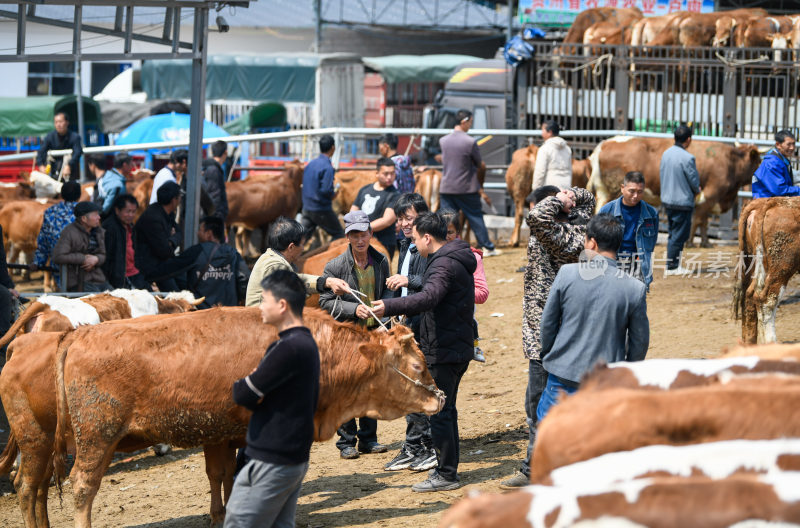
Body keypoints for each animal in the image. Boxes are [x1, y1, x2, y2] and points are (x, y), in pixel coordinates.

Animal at [32, 308, 438, 524]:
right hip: (97, 436)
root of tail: (78, 334)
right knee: (83, 486)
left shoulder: (221, 433)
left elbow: (223, 475)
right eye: (418, 366)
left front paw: (222, 514)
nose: (441, 398)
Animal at [588, 136, 764, 248]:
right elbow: (698, 220)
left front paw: (705, 242)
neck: (730, 162)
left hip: (605, 191)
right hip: (614, 191)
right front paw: (691, 243)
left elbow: (704, 222)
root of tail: (605, 143)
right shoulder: (709, 195)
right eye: (758, 160)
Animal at [736, 196, 796, 344]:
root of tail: (767, 203)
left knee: (750, 296)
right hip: (781, 267)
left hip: (752, 263)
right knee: (767, 300)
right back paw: (771, 341)